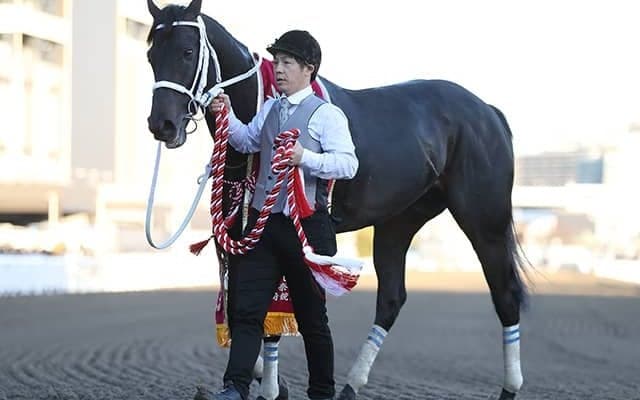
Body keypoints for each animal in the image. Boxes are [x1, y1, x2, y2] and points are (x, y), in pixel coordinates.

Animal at [145, 1, 527, 399]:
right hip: (398, 220)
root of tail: (487, 111)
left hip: (485, 220)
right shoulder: (239, 231)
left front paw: (271, 386)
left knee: (505, 294)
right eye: (151, 55)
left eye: (187, 52)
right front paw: (262, 379)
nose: (162, 125)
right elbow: (240, 305)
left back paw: (509, 387)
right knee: (391, 298)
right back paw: (350, 385)